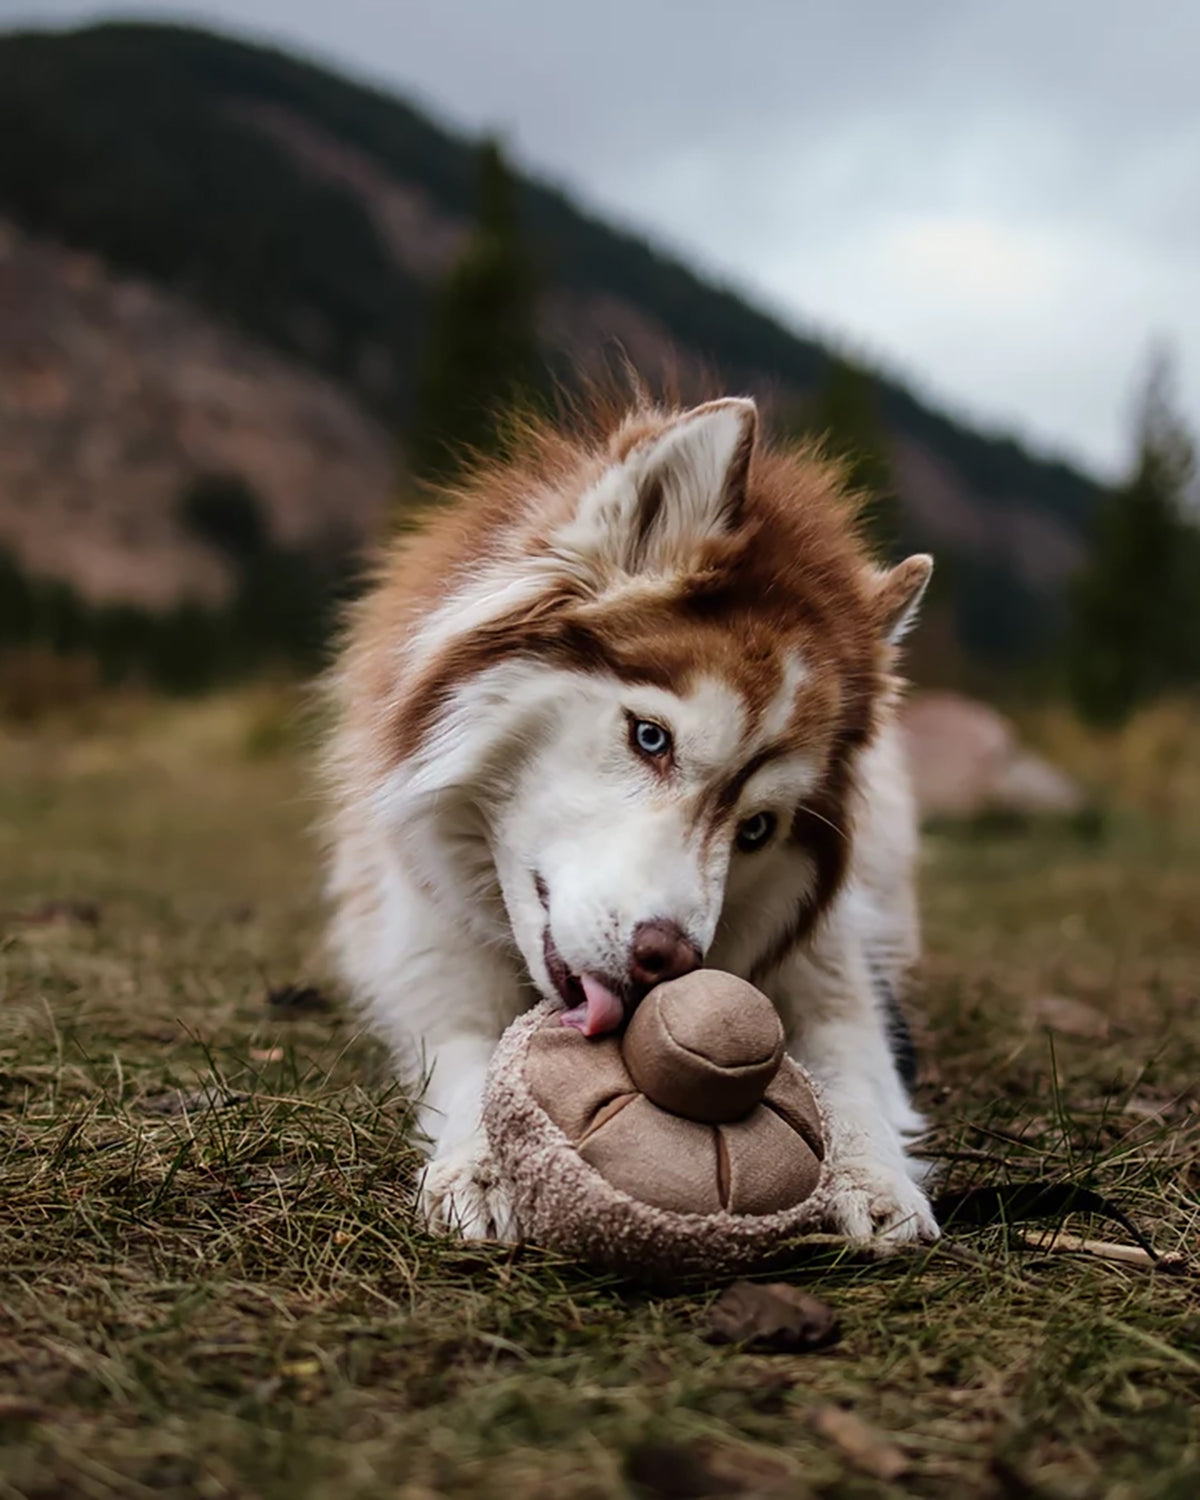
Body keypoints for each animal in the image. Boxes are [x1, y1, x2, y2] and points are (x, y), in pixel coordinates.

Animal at [324, 393, 942, 1248]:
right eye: (651, 738)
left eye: (758, 831)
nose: (669, 961)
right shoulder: (430, 957)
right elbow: (471, 1055)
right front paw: (483, 1163)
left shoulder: (831, 969)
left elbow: (852, 1073)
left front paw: (873, 1176)